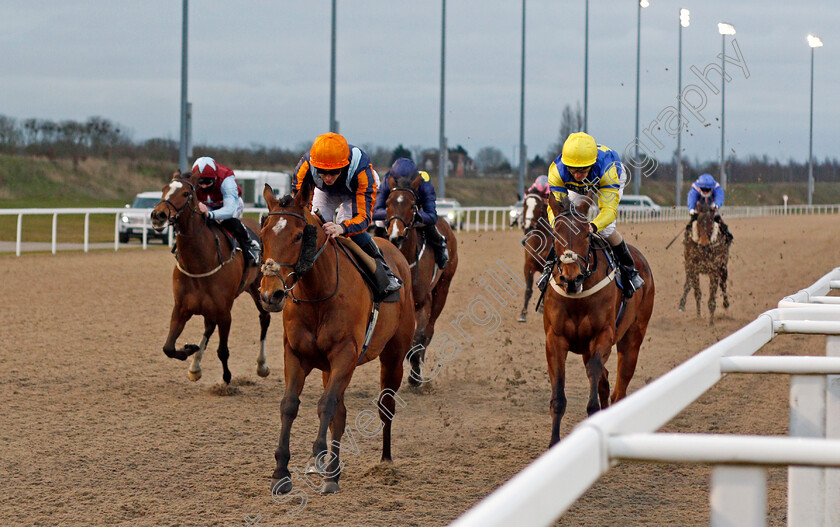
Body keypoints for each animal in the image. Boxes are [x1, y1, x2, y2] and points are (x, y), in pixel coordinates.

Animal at [149, 172, 270, 384]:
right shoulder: (181, 309)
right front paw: (190, 349)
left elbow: (223, 351)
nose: (158, 216)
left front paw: (227, 379)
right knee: (209, 327)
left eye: (186, 193)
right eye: (164, 189)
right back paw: (195, 366)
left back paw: (261, 365)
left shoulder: (224, 313)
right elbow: (168, 348)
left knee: (264, 318)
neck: (200, 264)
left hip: (258, 289)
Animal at [256, 180, 414, 496]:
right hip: (330, 368)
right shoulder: (296, 354)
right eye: (264, 233)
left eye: (298, 236)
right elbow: (291, 405)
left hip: (393, 356)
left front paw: (318, 453)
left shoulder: (345, 354)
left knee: (385, 407)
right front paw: (281, 472)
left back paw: (385, 461)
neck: (318, 294)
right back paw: (333, 472)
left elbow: (326, 405)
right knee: (339, 414)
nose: (270, 295)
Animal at [382, 175, 456, 386]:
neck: (408, 261)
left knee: (429, 330)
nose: (396, 235)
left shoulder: (423, 302)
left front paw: (415, 374)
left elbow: (420, 336)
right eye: (388, 203)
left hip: (443, 287)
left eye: (412, 205)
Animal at [544, 192, 656, 448]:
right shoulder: (555, 339)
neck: (577, 297)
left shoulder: (602, 335)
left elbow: (595, 374)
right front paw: (554, 443)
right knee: (605, 381)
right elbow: (559, 396)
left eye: (586, 234)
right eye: (555, 234)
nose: (571, 278)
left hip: (632, 338)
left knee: (619, 388)